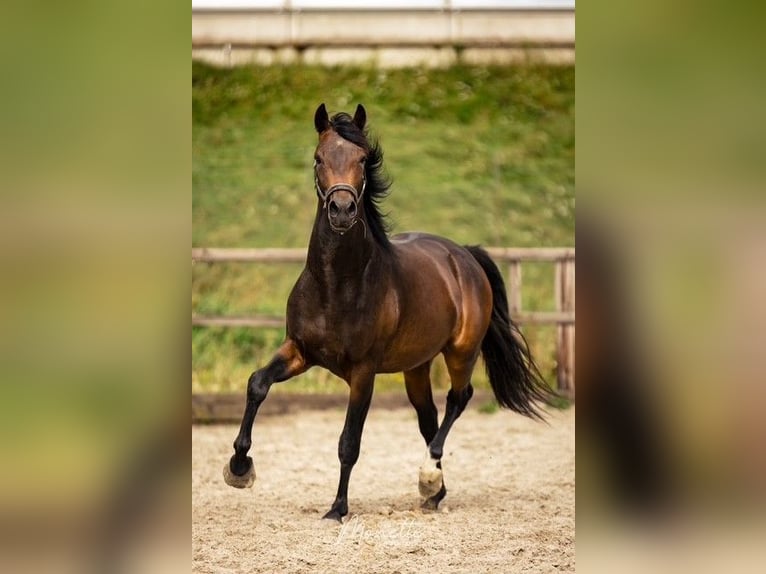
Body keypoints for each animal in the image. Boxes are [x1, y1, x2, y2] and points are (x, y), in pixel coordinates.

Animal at [225, 103, 556, 520]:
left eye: (362, 159)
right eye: (318, 158)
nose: (342, 210)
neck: (336, 284)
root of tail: (463, 255)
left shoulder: (363, 372)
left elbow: (349, 441)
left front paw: (337, 508)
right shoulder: (300, 351)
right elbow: (257, 383)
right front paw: (239, 468)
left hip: (461, 352)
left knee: (457, 400)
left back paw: (428, 477)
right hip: (416, 367)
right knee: (429, 419)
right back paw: (434, 492)